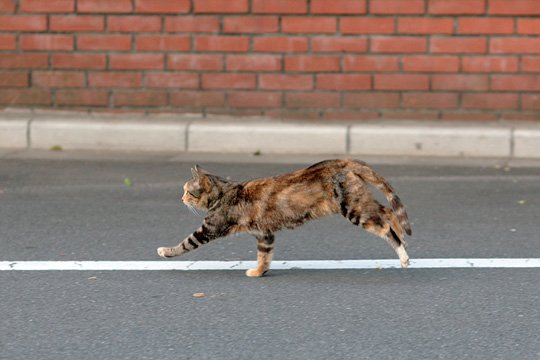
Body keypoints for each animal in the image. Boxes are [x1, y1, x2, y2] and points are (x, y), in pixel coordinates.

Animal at [158, 159, 412, 278]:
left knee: (384, 225)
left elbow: (185, 243)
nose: (181, 198)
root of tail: (342, 161)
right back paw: (403, 240)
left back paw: (403, 253)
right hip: (360, 201)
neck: (225, 192)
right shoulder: (264, 234)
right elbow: (264, 257)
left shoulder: (210, 228)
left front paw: (164, 251)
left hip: (353, 209)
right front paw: (259, 272)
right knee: (388, 211)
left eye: (188, 191)